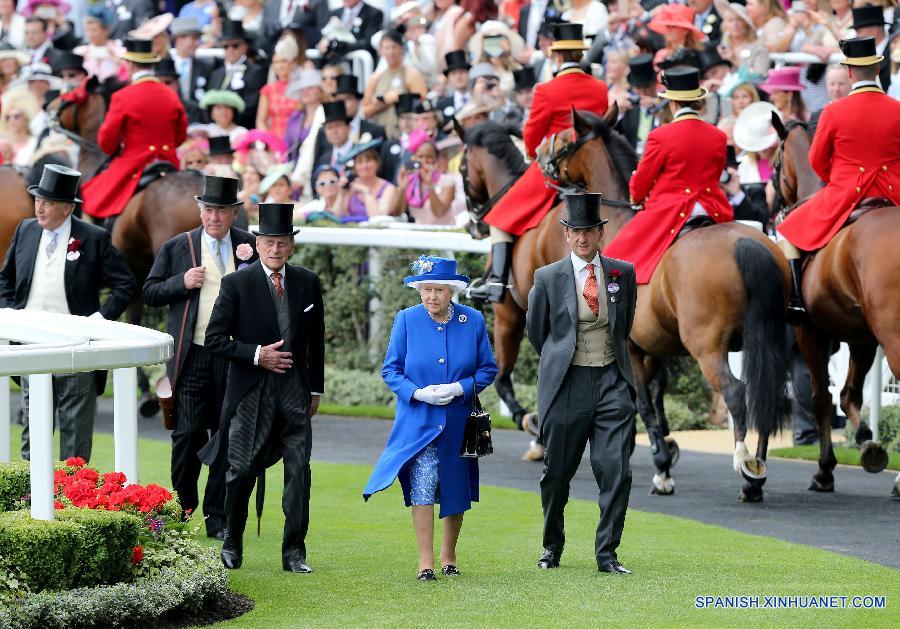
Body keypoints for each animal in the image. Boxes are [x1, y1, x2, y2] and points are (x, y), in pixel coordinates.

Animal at [460, 108, 792, 500]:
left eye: (565, 138)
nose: (542, 164)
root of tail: (747, 243)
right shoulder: (653, 345)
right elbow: (652, 398)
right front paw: (657, 449)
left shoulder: (528, 317)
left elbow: (639, 402)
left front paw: (660, 467)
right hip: (768, 341)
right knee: (767, 396)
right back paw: (756, 472)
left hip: (708, 347)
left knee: (737, 393)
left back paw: (744, 465)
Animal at [768, 115, 896, 494]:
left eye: (775, 164)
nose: (774, 206)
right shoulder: (862, 338)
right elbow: (849, 394)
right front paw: (867, 441)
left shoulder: (810, 333)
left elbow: (821, 399)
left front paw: (825, 468)